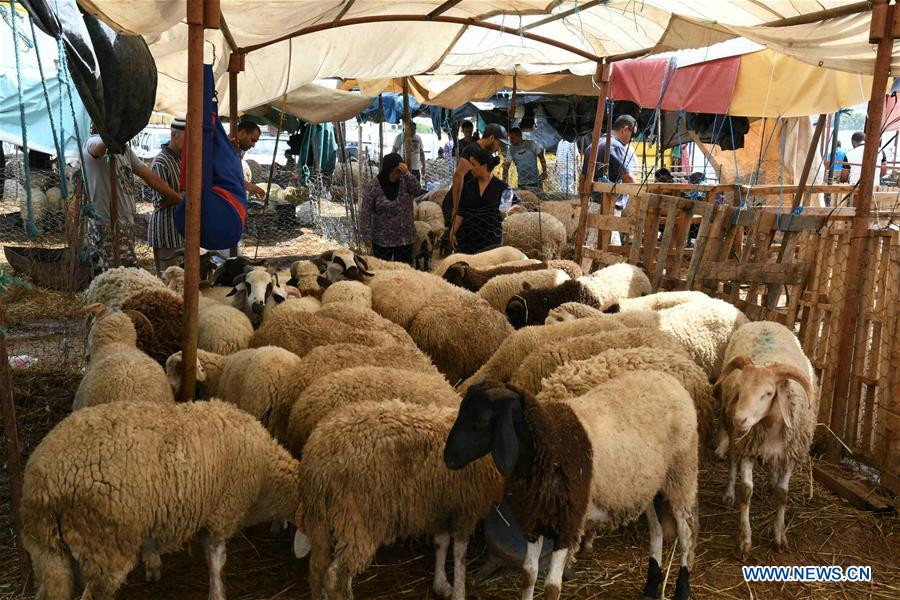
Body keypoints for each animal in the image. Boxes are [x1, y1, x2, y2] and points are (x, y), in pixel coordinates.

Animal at [446, 378, 700, 600]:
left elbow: (551, 588)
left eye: (480, 421)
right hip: (651, 484)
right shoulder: (535, 520)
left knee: (687, 535)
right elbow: (528, 574)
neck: (548, 443)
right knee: (657, 531)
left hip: (682, 475)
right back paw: (651, 585)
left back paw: (681, 590)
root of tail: (670, 380)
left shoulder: (566, 525)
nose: (448, 458)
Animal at [712, 322, 820, 560]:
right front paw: (744, 541)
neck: (770, 425)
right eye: (740, 389)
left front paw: (779, 536)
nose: (739, 419)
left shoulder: (789, 455)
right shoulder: (747, 448)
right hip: (734, 437)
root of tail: (765, 322)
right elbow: (746, 491)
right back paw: (728, 494)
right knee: (732, 461)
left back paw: (771, 480)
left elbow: (782, 494)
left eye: (769, 393)